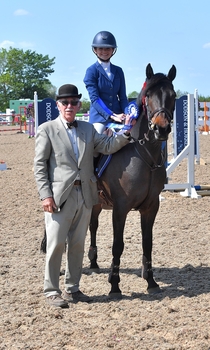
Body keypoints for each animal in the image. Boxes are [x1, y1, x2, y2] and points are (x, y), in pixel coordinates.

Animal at [88, 63, 176, 298]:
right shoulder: (121, 208)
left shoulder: (151, 207)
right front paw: (114, 285)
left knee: (92, 225)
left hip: (96, 203)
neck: (144, 153)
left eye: (173, 96)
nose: (161, 128)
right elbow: (117, 245)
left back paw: (93, 262)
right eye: (148, 96)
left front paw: (151, 282)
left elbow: (148, 243)